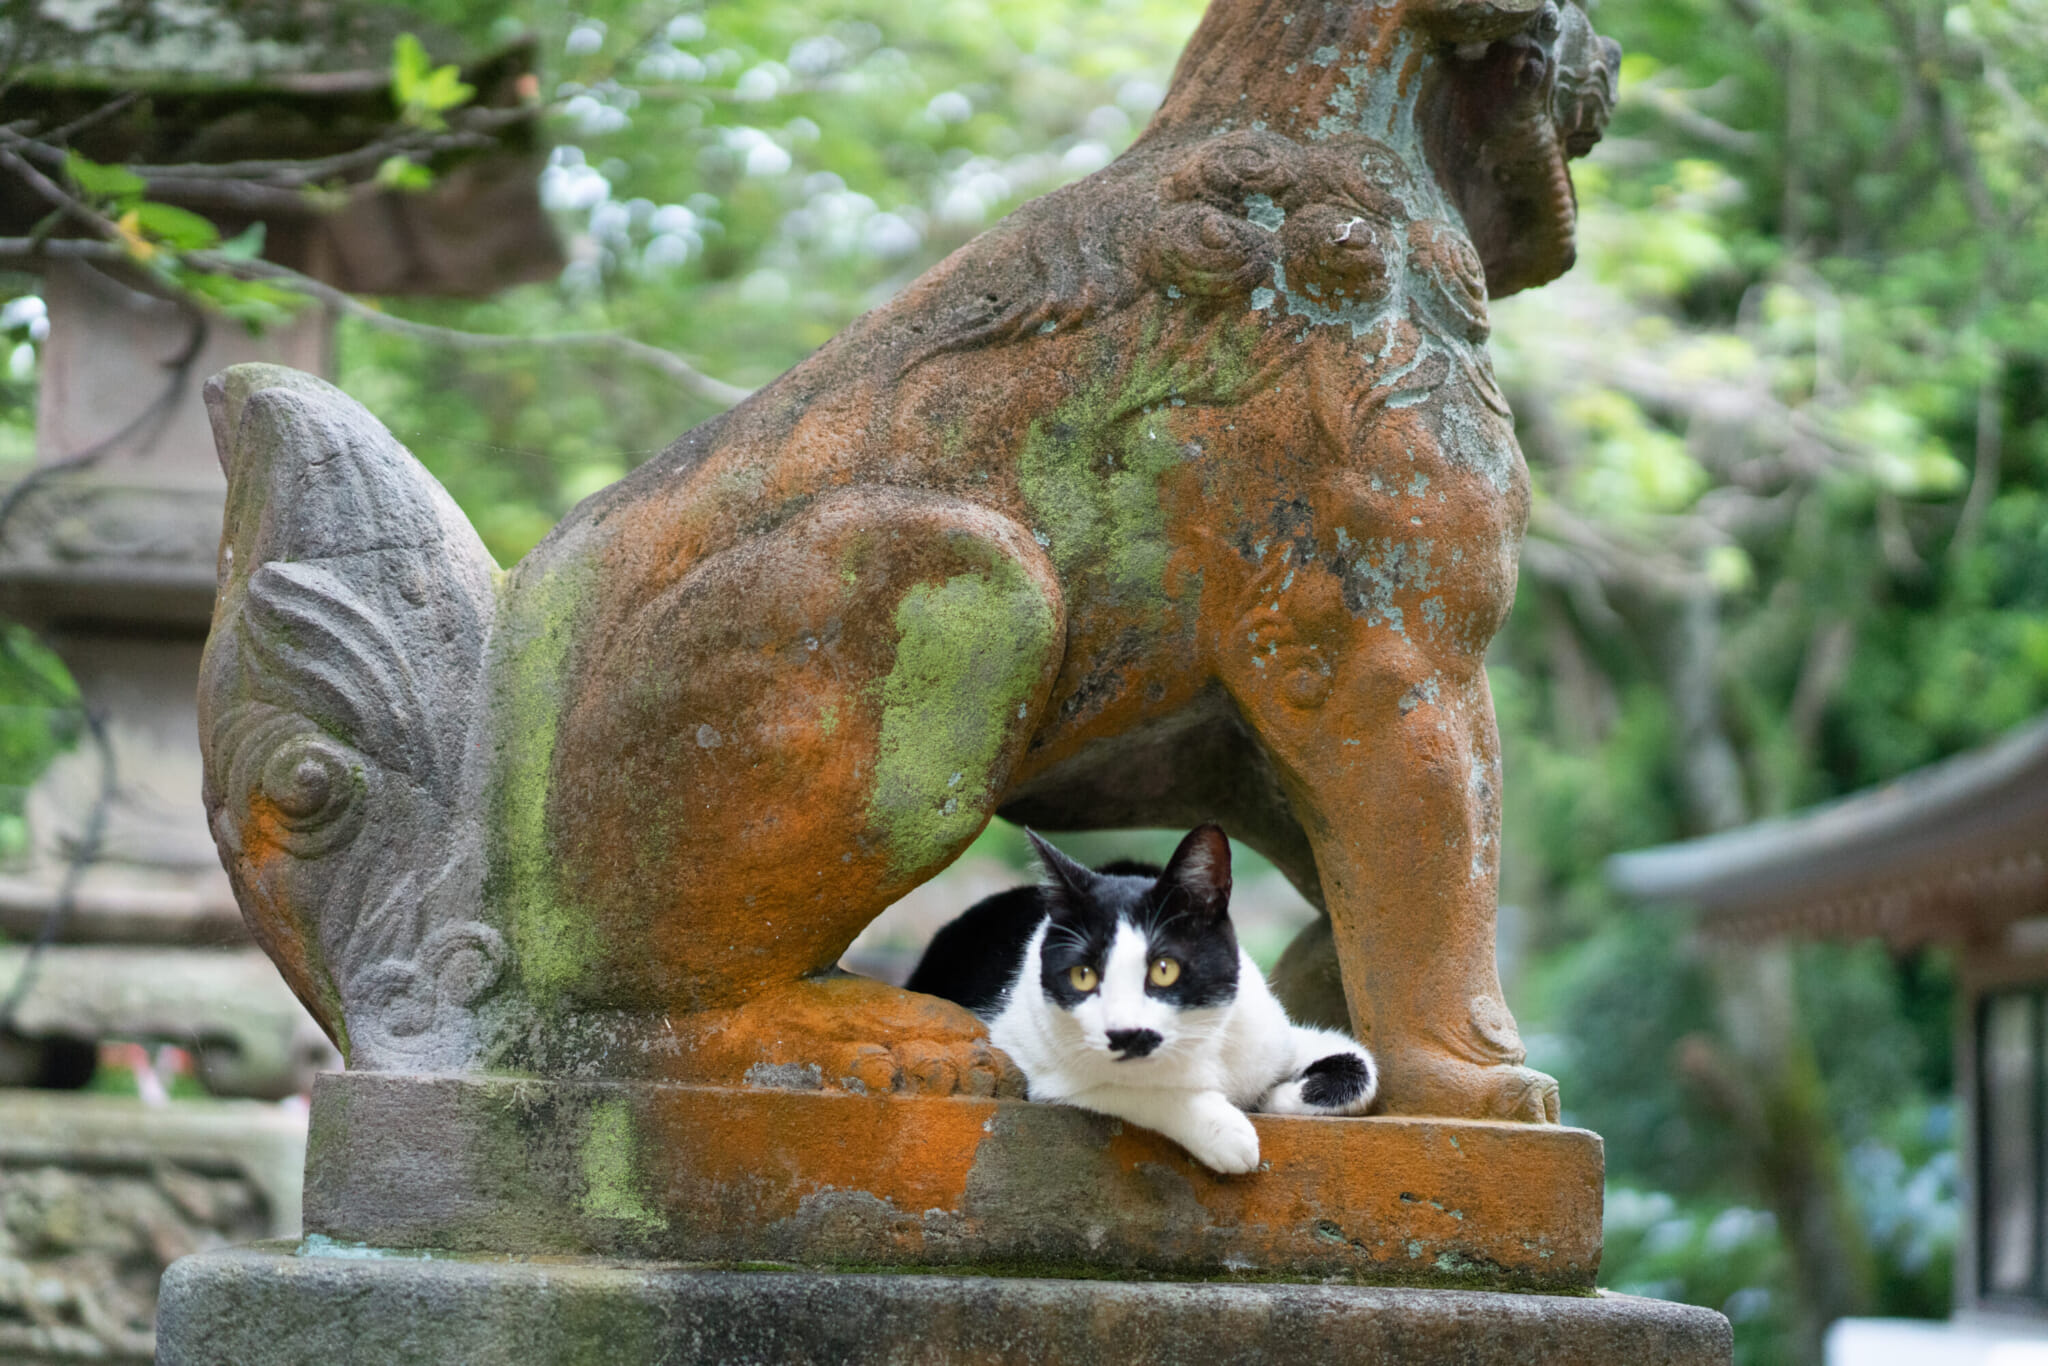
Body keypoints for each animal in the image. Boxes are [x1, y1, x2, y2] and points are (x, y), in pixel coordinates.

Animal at [909, 823, 1376, 1179]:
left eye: (1164, 969)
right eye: (1083, 975)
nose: (1124, 1033)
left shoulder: (1270, 1036)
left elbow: (1364, 1070)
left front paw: (1276, 1096)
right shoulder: (1035, 1064)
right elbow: (1128, 1090)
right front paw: (1226, 1129)